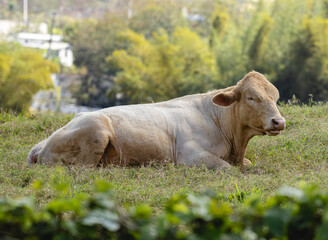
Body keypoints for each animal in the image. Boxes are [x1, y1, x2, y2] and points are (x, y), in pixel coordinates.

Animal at [27, 71, 284, 169]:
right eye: (252, 97)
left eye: (276, 97)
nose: (278, 122)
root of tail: (42, 145)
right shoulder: (190, 155)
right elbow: (225, 168)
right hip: (96, 132)